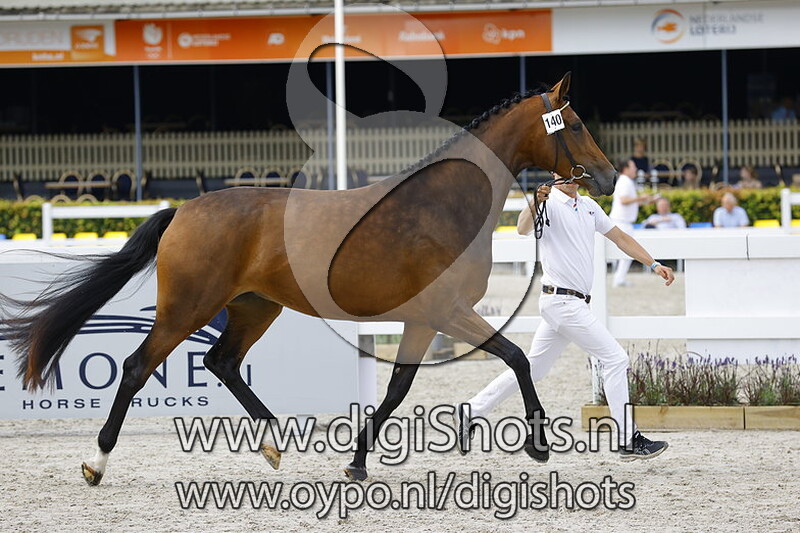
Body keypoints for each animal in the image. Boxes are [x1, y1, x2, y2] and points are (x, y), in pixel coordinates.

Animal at [1, 72, 616, 485]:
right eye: (575, 123)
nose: (607, 177)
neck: (443, 204)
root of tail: (184, 210)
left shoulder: (423, 319)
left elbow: (398, 389)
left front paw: (358, 462)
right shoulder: (446, 311)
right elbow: (514, 358)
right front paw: (539, 445)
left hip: (255, 306)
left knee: (221, 362)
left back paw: (274, 443)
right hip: (187, 307)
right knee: (136, 367)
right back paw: (96, 462)